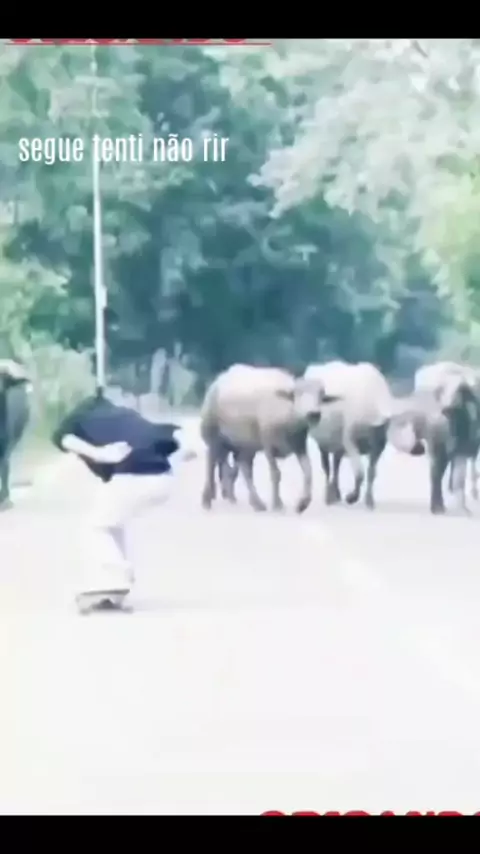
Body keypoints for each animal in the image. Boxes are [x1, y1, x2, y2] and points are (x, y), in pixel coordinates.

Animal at [200, 363, 340, 513]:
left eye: (321, 395)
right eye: (298, 394)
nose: (313, 414)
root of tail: (218, 380)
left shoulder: (300, 446)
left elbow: (308, 471)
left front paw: (302, 503)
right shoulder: (268, 446)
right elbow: (275, 474)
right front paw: (277, 504)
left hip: (246, 444)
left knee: (244, 467)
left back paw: (256, 503)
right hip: (214, 435)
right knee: (211, 461)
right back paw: (206, 500)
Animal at [303, 361, 394, 509]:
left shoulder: (378, 446)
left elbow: (371, 472)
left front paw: (369, 500)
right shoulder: (350, 441)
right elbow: (359, 473)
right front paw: (352, 497)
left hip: (337, 442)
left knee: (336, 463)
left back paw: (335, 493)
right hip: (323, 442)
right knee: (327, 466)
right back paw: (329, 496)